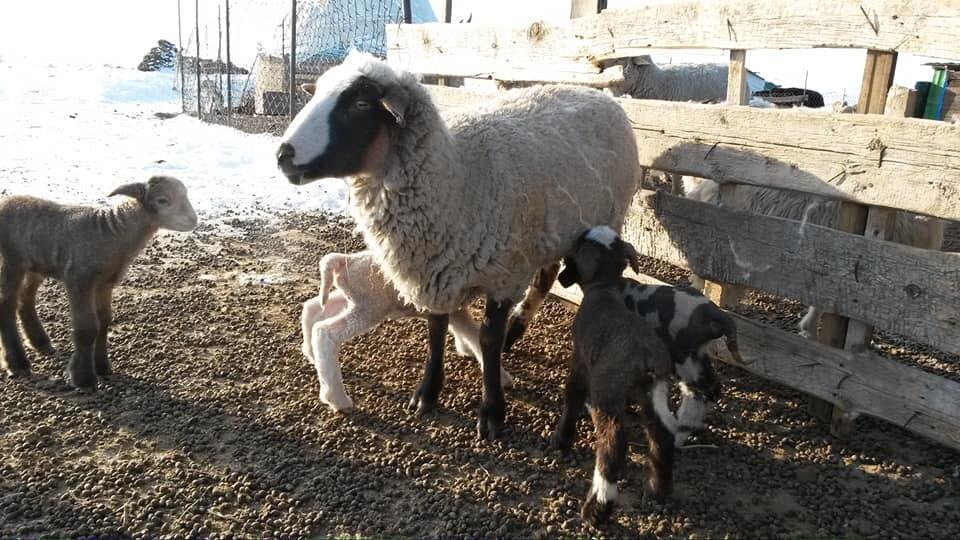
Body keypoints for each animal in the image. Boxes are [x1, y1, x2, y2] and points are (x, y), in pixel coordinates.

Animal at [300, 251, 512, 412]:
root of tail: (345, 260)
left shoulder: (454, 310)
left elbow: (466, 331)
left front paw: (464, 349)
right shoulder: (452, 309)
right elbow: (473, 334)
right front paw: (503, 378)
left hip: (354, 300)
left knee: (312, 307)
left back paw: (311, 354)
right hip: (370, 307)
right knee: (325, 332)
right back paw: (337, 398)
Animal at [548, 227, 676, 524]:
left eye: (572, 257)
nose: (561, 277)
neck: (604, 290)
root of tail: (646, 358)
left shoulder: (581, 358)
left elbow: (572, 395)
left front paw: (562, 439)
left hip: (606, 391)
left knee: (613, 444)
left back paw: (598, 507)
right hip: (653, 394)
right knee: (662, 436)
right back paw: (658, 489)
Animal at [556, 226, 744, 446]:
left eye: (572, 257)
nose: (561, 278)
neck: (614, 285)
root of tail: (713, 313)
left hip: (683, 356)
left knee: (698, 393)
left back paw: (679, 433)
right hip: (698, 354)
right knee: (713, 388)